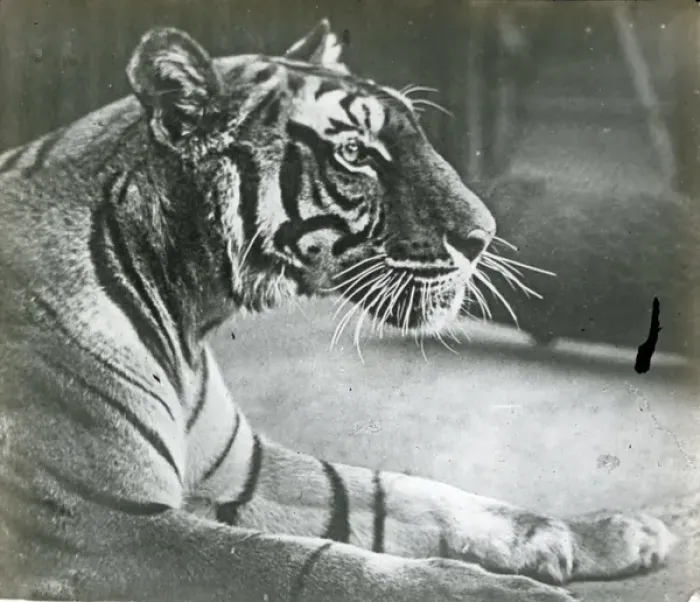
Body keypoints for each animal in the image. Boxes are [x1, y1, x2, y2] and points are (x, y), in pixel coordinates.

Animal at [0, 18, 696, 602]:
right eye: (356, 154)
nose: (485, 236)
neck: (188, 312)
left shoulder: (241, 468)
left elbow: (409, 493)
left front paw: (616, 532)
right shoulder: (107, 528)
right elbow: (315, 565)